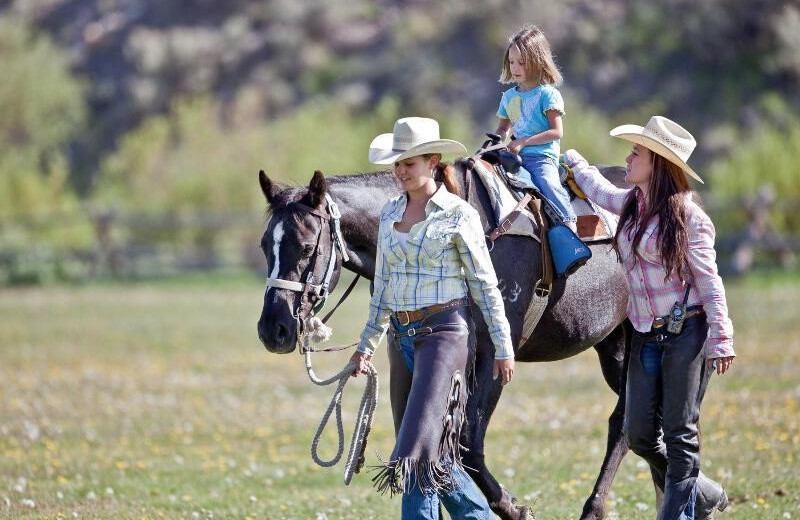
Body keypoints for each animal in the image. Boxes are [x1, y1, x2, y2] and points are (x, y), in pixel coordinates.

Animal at [260, 160, 636, 516]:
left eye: (306, 247)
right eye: (265, 245)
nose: (272, 329)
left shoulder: (492, 355)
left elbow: (467, 442)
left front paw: (514, 508)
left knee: (623, 422)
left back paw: (593, 508)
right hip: (613, 346)